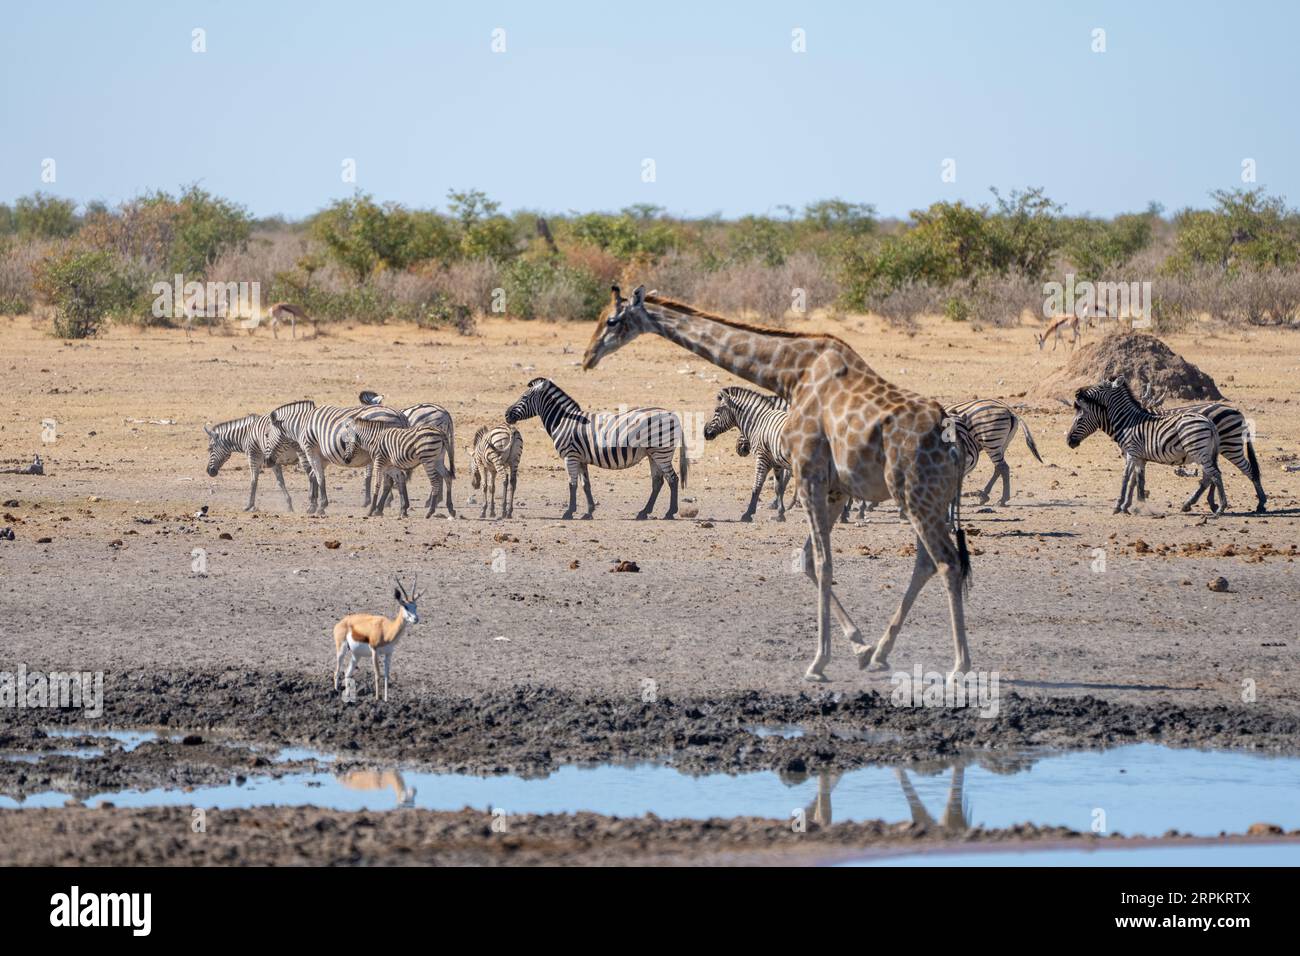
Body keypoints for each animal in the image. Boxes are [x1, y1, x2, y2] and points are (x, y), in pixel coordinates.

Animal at [583, 286, 972, 681]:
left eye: (612, 320)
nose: (587, 356)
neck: (791, 373)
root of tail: (952, 440)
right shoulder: (834, 488)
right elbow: (808, 561)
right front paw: (859, 648)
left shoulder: (809, 473)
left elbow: (823, 562)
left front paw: (818, 662)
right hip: (928, 500)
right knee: (926, 563)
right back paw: (882, 652)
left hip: (915, 494)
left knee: (947, 562)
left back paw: (961, 665)